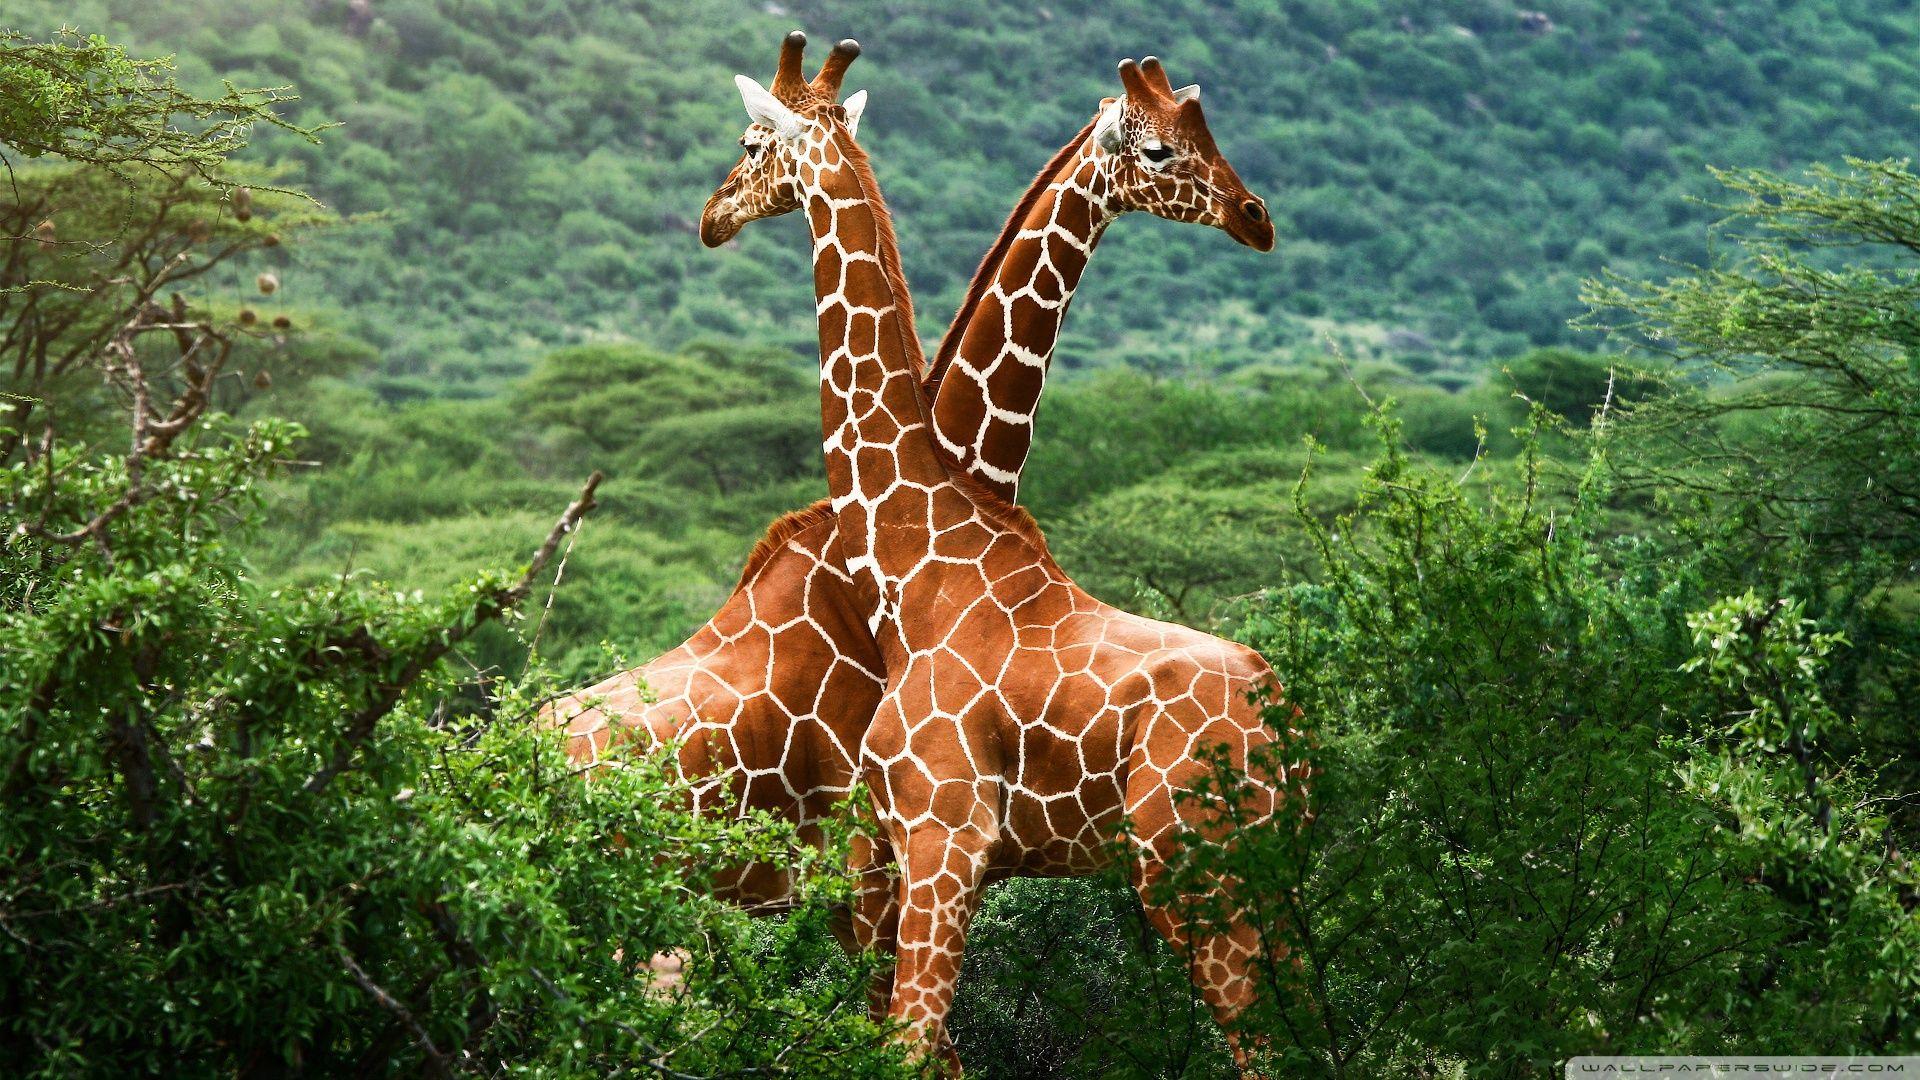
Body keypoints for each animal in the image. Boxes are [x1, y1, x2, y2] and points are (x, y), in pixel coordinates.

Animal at [689, 32, 1307, 1071]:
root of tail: (1284, 722)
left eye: (748, 142)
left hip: (1193, 870)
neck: (918, 558)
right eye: (1162, 148)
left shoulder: (940, 839)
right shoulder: (904, 854)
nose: (711, 216)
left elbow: (909, 1048)